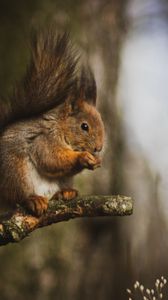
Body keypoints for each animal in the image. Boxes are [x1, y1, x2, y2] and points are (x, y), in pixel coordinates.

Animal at [0, 28, 104, 216]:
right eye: (84, 126)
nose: (98, 148)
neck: (61, 128)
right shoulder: (44, 139)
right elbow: (51, 159)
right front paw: (83, 157)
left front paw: (96, 160)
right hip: (15, 172)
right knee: (17, 197)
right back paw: (33, 199)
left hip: (63, 180)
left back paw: (66, 193)